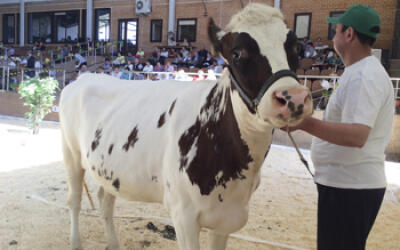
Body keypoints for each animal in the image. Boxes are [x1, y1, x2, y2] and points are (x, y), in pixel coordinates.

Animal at [60, 3, 312, 250]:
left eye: (296, 47)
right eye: (236, 53)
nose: (294, 97)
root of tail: (84, 78)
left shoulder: (226, 219)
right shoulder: (183, 215)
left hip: (109, 167)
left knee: (105, 199)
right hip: (71, 153)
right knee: (74, 201)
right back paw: (75, 243)